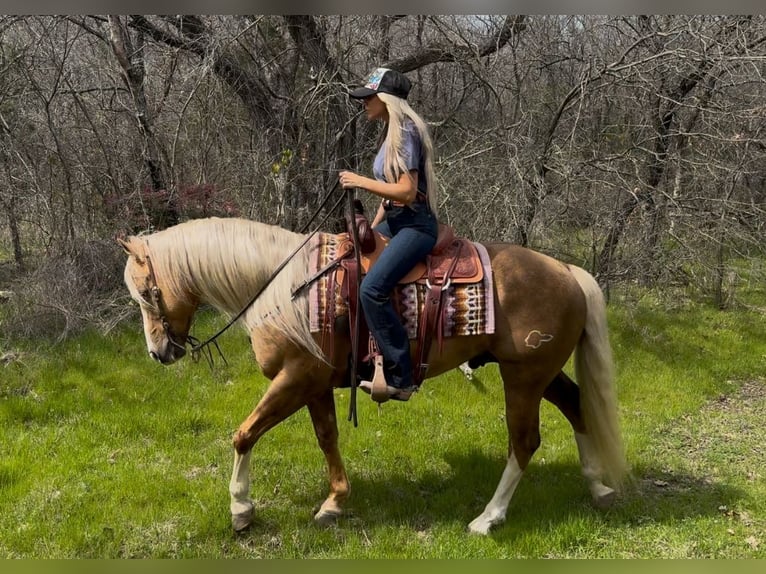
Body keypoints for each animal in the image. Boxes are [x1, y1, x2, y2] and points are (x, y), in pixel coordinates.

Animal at [120, 216, 632, 536]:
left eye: (147, 292)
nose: (158, 352)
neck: (285, 288)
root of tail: (566, 270)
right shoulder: (314, 383)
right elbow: (327, 437)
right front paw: (334, 502)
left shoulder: (295, 378)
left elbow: (244, 434)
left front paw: (241, 510)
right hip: (541, 372)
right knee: (577, 408)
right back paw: (599, 488)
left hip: (523, 378)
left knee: (524, 442)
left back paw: (488, 518)